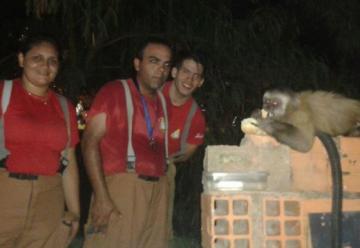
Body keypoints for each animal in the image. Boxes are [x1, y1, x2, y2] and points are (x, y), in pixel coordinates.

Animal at [252, 89, 360, 248]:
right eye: (267, 102)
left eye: (274, 103)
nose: (267, 108)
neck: (290, 110)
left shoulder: (300, 116)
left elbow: (304, 142)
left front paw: (267, 124)